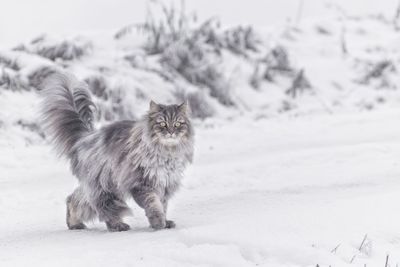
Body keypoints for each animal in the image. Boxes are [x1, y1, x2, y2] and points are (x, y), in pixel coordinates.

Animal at [40, 73, 194, 232]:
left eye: (178, 124)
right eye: (162, 124)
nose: (171, 132)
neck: (166, 152)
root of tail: (86, 137)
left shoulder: (164, 184)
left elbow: (163, 205)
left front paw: (165, 221)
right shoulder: (142, 184)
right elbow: (154, 205)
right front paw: (158, 223)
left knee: (75, 199)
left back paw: (74, 224)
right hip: (106, 187)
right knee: (104, 209)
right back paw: (118, 225)